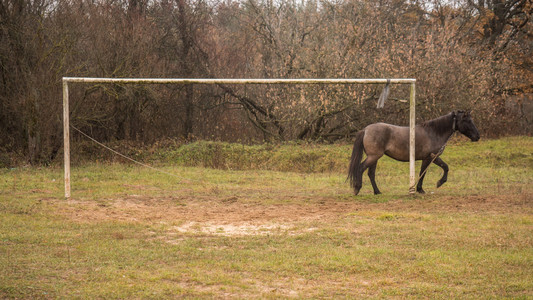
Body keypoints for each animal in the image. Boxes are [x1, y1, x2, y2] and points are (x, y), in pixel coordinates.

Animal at [348, 110, 480, 195]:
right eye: (468, 121)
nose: (477, 136)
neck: (433, 132)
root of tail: (366, 129)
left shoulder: (427, 159)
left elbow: (424, 172)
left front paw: (420, 189)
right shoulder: (430, 157)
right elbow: (442, 168)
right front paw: (437, 184)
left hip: (374, 158)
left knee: (371, 174)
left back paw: (377, 192)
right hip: (373, 157)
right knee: (361, 168)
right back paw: (357, 188)